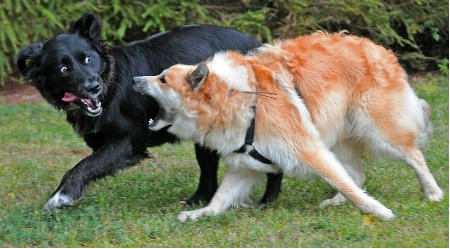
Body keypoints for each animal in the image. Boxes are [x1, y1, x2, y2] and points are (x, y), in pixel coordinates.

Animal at [16, 13, 282, 211]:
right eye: (63, 68)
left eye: (88, 59)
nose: (93, 87)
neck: (111, 85)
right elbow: (90, 164)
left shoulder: (128, 142)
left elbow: (83, 166)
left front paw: (60, 197)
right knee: (208, 169)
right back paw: (197, 200)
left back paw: (267, 201)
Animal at [133, 31, 442, 222]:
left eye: (162, 79)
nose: (135, 80)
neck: (235, 98)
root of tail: (377, 48)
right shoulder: (245, 165)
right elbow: (220, 198)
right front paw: (200, 214)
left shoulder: (308, 149)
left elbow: (345, 184)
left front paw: (379, 212)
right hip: (336, 136)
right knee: (357, 174)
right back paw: (335, 202)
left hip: (378, 132)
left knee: (413, 156)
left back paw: (433, 192)